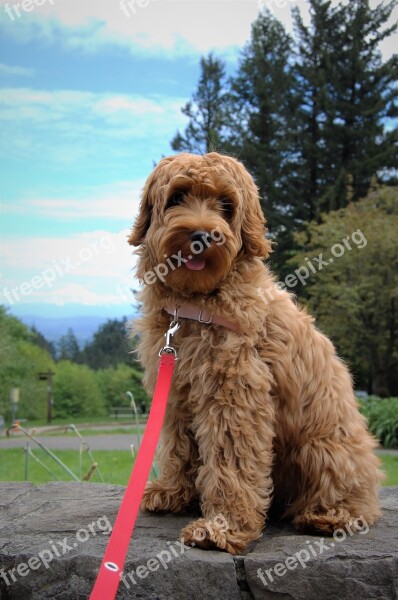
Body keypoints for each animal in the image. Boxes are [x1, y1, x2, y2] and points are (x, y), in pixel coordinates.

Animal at [129, 152, 384, 556]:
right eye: (177, 197)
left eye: (226, 205)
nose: (201, 236)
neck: (195, 304)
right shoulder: (177, 392)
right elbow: (179, 447)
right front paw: (172, 492)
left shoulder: (234, 394)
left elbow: (230, 462)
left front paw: (222, 527)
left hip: (323, 450)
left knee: (351, 497)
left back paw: (328, 515)